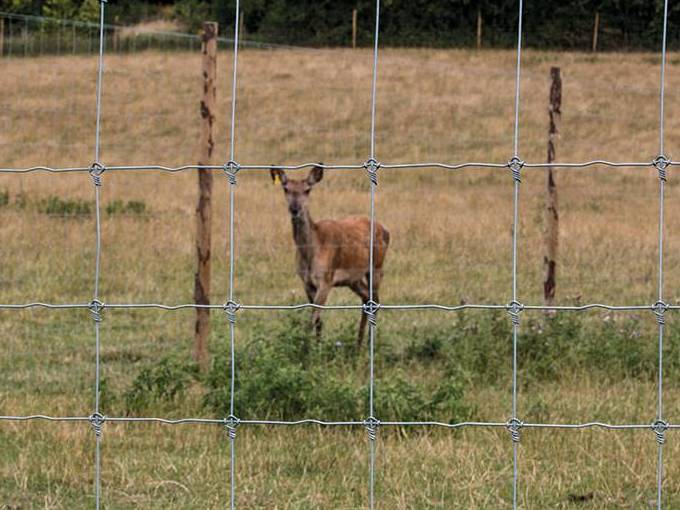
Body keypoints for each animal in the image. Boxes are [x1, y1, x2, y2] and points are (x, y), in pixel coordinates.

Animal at [270, 163, 390, 346]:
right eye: (285, 188)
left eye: (307, 190)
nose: (295, 209)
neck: (310, 252)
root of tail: (386, 230)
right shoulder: (306, 282)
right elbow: (318, 320)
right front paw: (317, 345)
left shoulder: (326, 279)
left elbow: (312, 319)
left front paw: (307, 349)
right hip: (353, 279)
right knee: (366, 298)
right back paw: (358, 345)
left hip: (377, 266)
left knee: (375, 301)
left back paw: (369, 343)